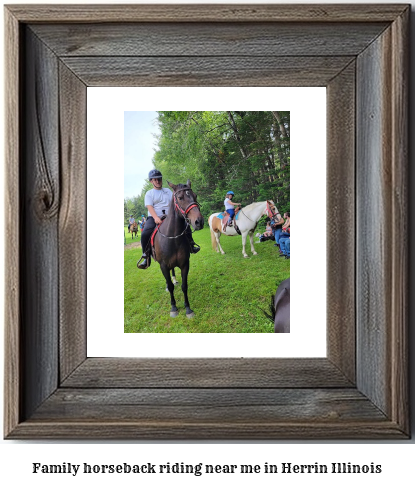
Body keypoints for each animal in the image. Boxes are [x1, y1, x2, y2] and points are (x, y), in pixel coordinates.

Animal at [153, 181, 205, 318]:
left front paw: (188, 308)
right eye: (180, 198)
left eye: (195, 195)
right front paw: (174, 308)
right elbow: (171, 287)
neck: (173, 239)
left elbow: (184, 286)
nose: (199, 221)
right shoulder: (163, 265)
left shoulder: (185, 264)